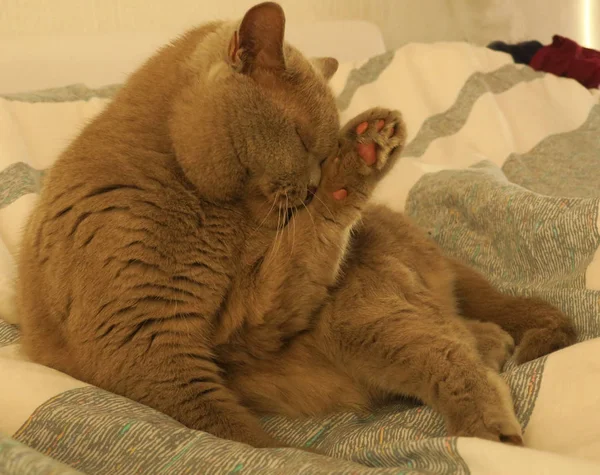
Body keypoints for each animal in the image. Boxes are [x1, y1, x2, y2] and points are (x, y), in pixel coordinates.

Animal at [15, 2, 576, 450]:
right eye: (305, 141)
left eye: (322, 154)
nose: (312, 183)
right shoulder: (151, 343)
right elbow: (238, 435)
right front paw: (291, 456)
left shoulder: (239, 317)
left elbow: (307, 244)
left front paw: (356, 160)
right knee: (456, 335)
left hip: (360, 312)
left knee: (449, 346)